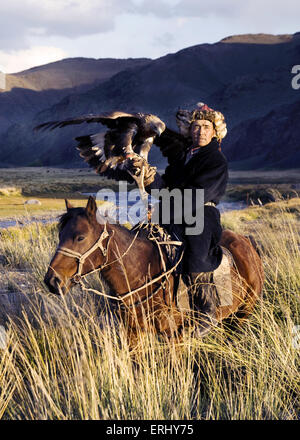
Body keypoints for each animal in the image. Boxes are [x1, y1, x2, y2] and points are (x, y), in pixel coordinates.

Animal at [43, 197, 264, 344]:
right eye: (60, 235)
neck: (142, 274)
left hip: (244, 313)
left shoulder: (175, 337)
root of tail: (246, 240)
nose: (52, 281)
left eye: (80, 237)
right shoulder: (133, 333)